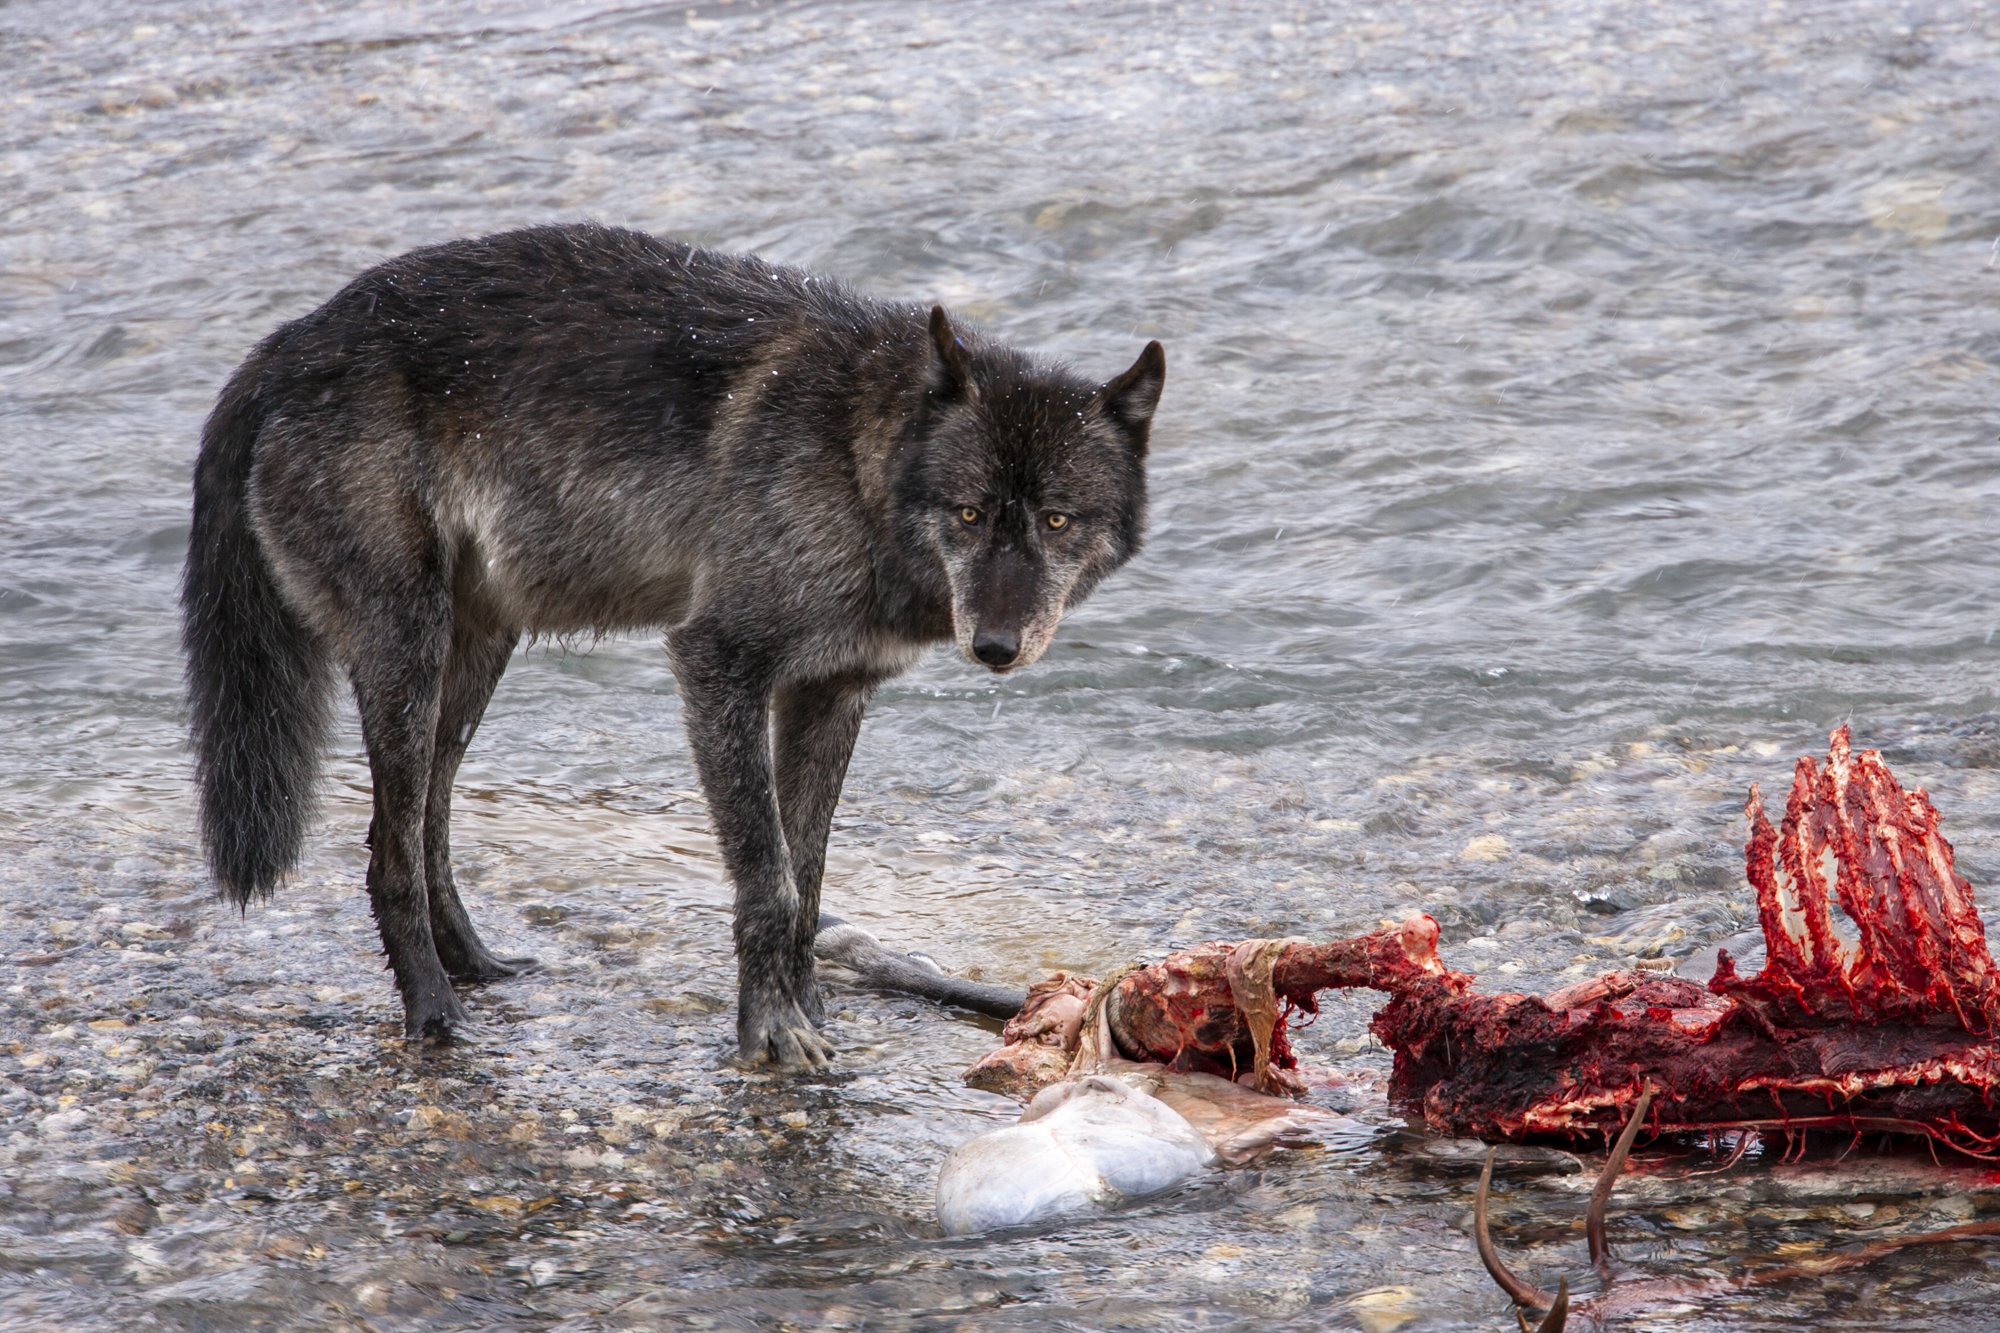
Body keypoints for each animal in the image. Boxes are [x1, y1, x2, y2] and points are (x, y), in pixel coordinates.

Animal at [180, 223, 1168, 1064]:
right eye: (968, 514)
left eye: (1057, 519)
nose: (997, 646)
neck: (855, 458)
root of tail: (285, 342)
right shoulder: (716, 663)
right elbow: (768, 876)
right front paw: (771, 1031)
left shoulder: (832, 692)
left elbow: (809, 874)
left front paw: (807, 1008)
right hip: (409, 651)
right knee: (389, 848)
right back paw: (434, 1010)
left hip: (477, 655)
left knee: (430, 822)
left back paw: (480, 967)